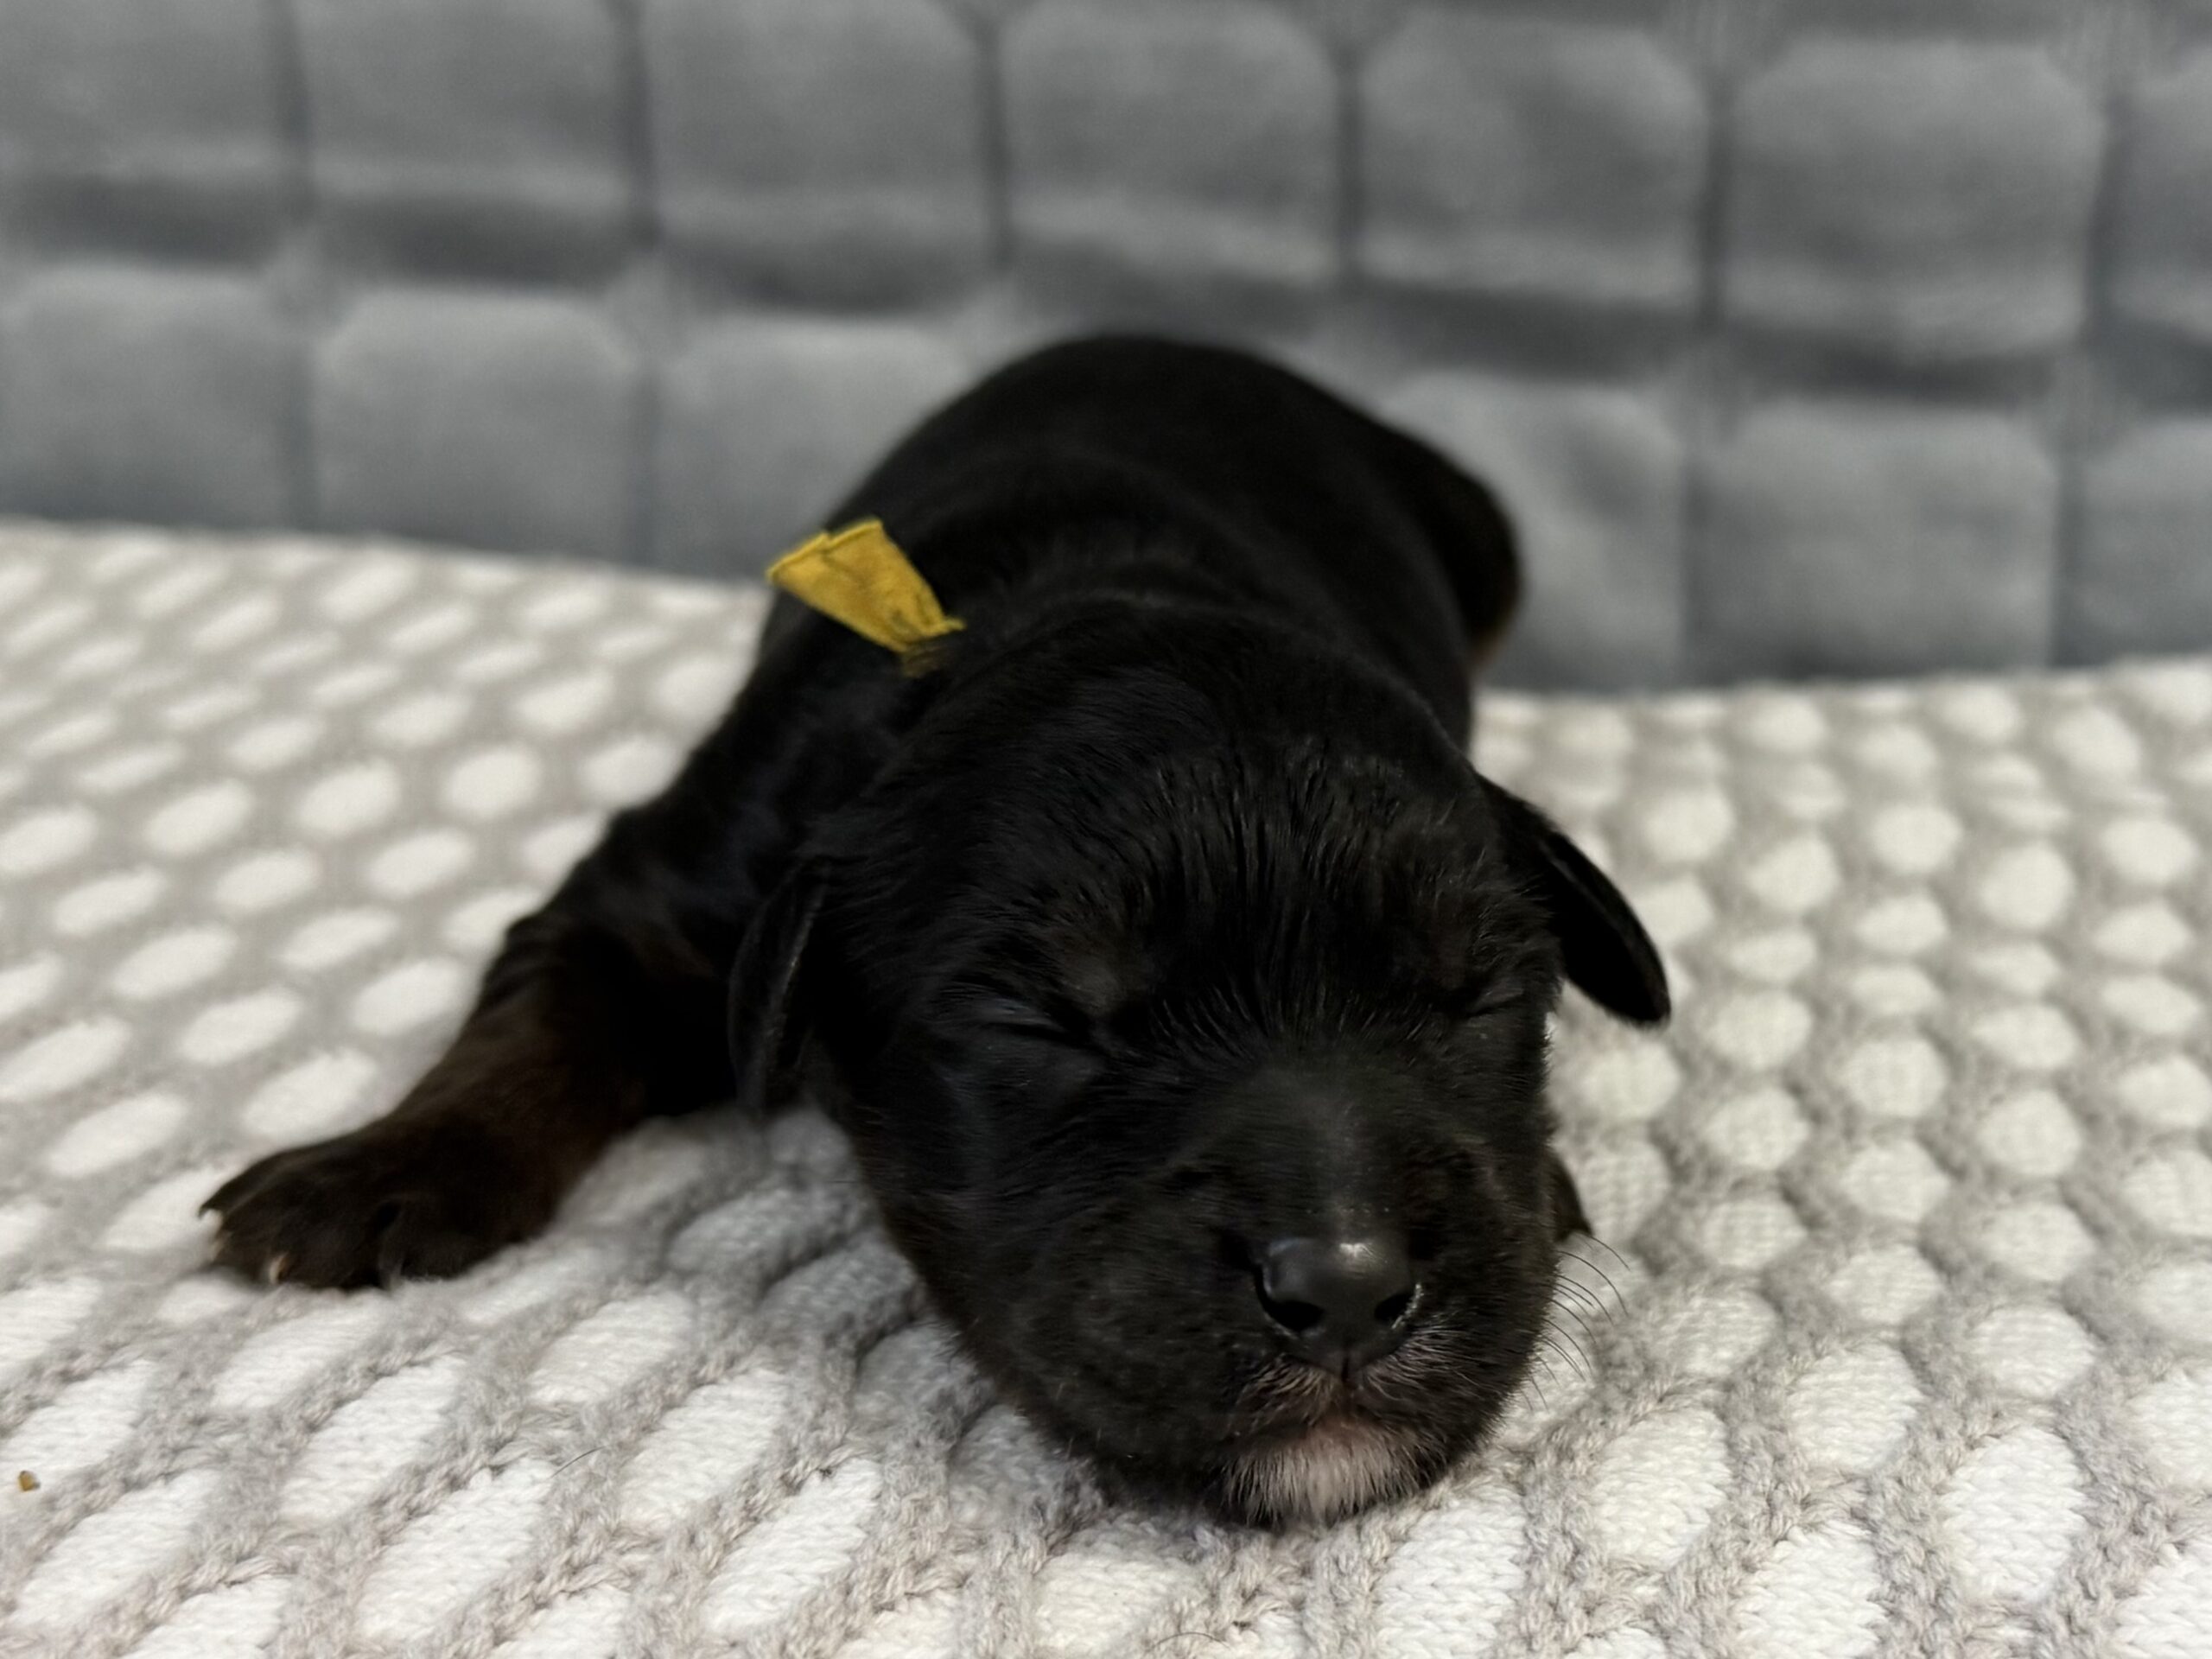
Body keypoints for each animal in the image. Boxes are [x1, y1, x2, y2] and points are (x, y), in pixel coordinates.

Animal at [206, 337, 1669, 1525]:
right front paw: (368, 1172)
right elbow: (534, 1023)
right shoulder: (662, 887)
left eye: (1483, 997)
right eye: (1042, 1020)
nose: (1353, 1285)